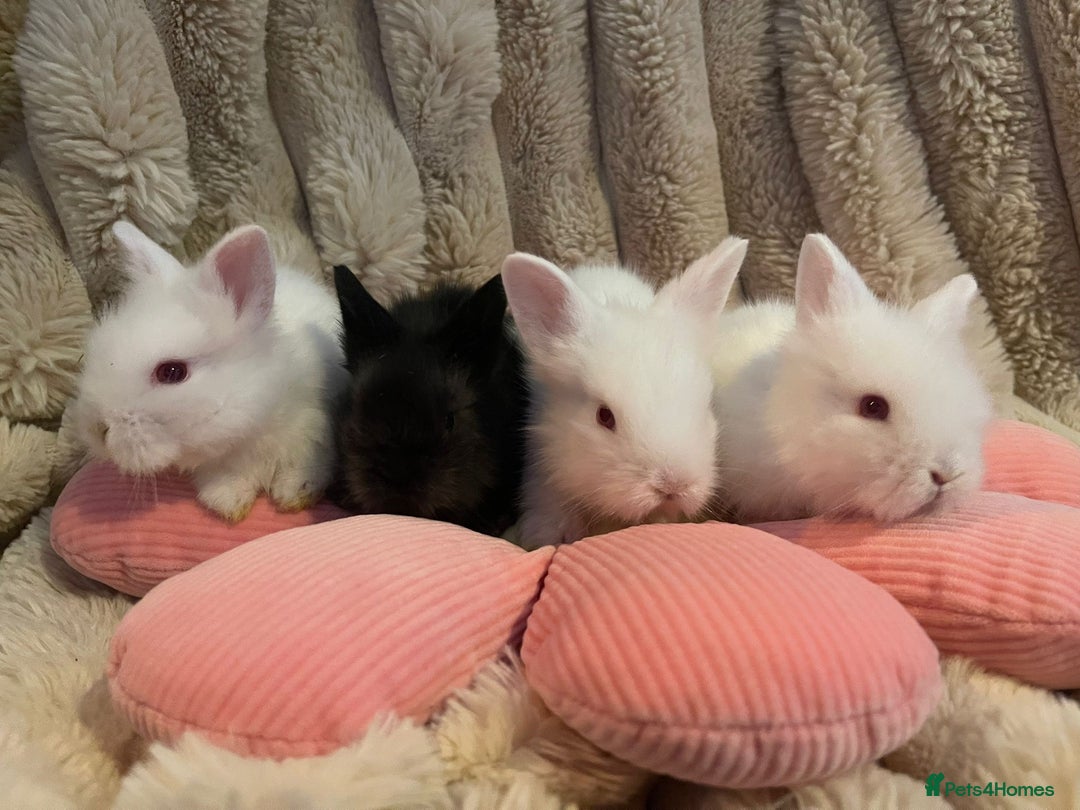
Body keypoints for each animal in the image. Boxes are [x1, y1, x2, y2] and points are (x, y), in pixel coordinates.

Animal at [71, 221, 349, 522]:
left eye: (172, 372)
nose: (97, 429)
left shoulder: (313, 434)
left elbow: (304, 469)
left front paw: (294, 495)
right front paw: (229, 504)